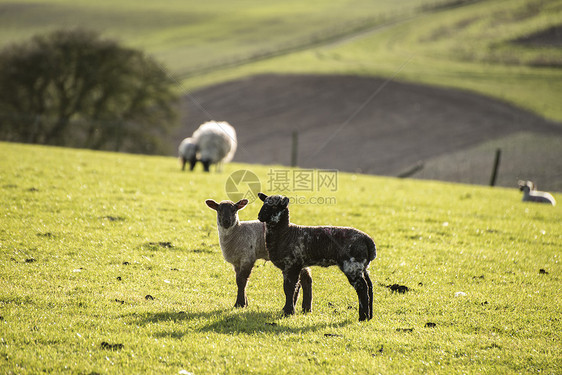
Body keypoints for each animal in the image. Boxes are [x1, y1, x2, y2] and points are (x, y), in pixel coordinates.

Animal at [258, 192, 376, 322]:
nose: (260, 216)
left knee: (362, 288)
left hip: (352, 266)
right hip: (362, 267)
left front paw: (288, 312)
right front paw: (287, 310)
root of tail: (368, 240)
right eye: (264, 203)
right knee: (369, 286)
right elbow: (295, 288)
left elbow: (289, 288)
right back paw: (369, 316)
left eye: (274, 206)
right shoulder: (295, 266)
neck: (285, 233)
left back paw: (362, 317)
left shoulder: (291, 264)